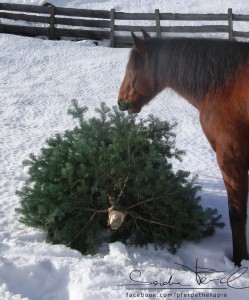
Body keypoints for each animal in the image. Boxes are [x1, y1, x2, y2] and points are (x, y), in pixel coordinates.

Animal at [117, 29, 249, 264]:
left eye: (132, 68)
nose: (121, 101)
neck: (223, 85)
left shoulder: (232, 161)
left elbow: (237, 215)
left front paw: (239, 260)